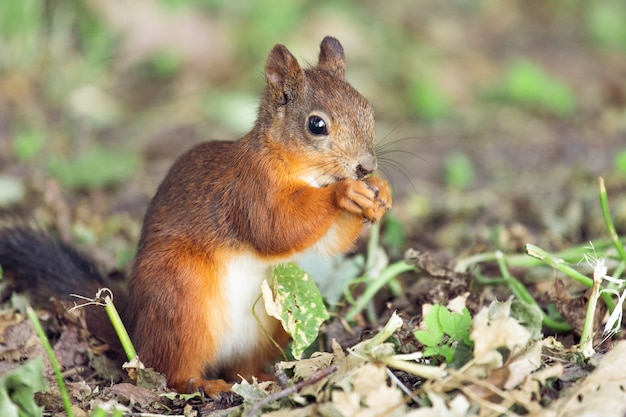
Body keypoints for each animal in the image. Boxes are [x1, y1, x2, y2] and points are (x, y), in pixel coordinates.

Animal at [0, 36, 390, 396]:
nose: (365, 166)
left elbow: (327, 243)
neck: (300, 169)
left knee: (240, 368)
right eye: (316, 125)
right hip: (182, 298)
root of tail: (135, 332)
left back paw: (260, 378)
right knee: (170, 371)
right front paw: (344, 192)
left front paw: (379, 191)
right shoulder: (249, 191)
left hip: (270, 322)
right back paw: (204, 384)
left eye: (368, 110)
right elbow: (275, 228)